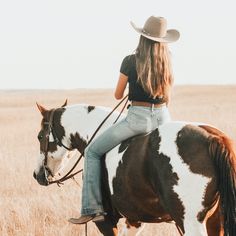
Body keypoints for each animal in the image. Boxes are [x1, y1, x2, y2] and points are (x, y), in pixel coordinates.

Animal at [33, 100, 236, 235]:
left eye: (40, 136)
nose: (37, 175)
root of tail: (213, 138)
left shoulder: (106, 221)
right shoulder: (134, 220)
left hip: (191, 222)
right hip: (214, 221)